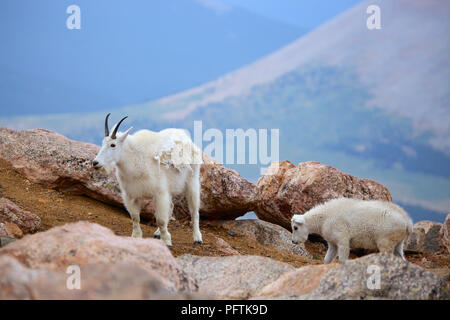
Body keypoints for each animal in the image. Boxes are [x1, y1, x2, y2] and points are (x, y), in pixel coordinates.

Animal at [92, 114, 203, 246]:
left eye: (113, 145)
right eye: (103, 143)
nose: (95, 163)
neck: (134, 158)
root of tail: (186, 138)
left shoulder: (160, 193)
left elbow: (160, 219)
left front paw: (166, 241)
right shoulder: (131, 194)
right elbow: (135, 216)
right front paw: (136, 236)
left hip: (192, 181)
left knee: (194, 211)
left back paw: (197, 238)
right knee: (171, 207)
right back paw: (157, 233)